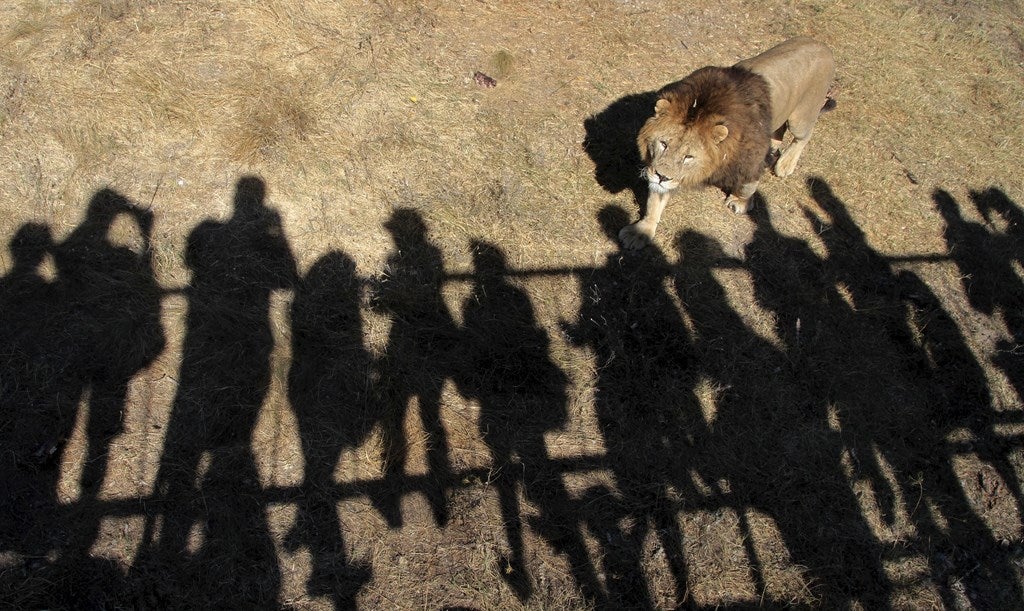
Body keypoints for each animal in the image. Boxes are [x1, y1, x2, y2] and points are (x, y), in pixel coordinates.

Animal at [618, 36, 835, 247]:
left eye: (689, 156)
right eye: (663, 144)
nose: (662, 176)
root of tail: (822, 45)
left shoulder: (751, 159)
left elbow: (748, 185)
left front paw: (740, 202)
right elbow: (655, 200)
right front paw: (641, 231)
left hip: (802, 118)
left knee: (803, 136)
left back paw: (785, 164)